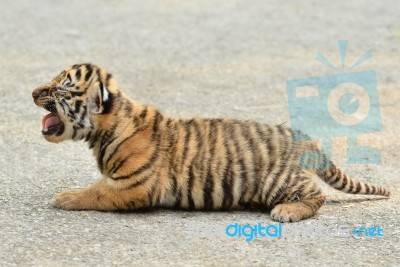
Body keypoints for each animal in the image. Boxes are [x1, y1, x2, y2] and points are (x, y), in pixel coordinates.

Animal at [32, 63, 390, 223]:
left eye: (60, 89)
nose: (33, 92)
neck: (105, 129)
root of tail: (305, 139)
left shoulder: (132, 185)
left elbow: (94, 191)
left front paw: (65, 197)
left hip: (278, 180)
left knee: (317, 195)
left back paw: (286, 211)